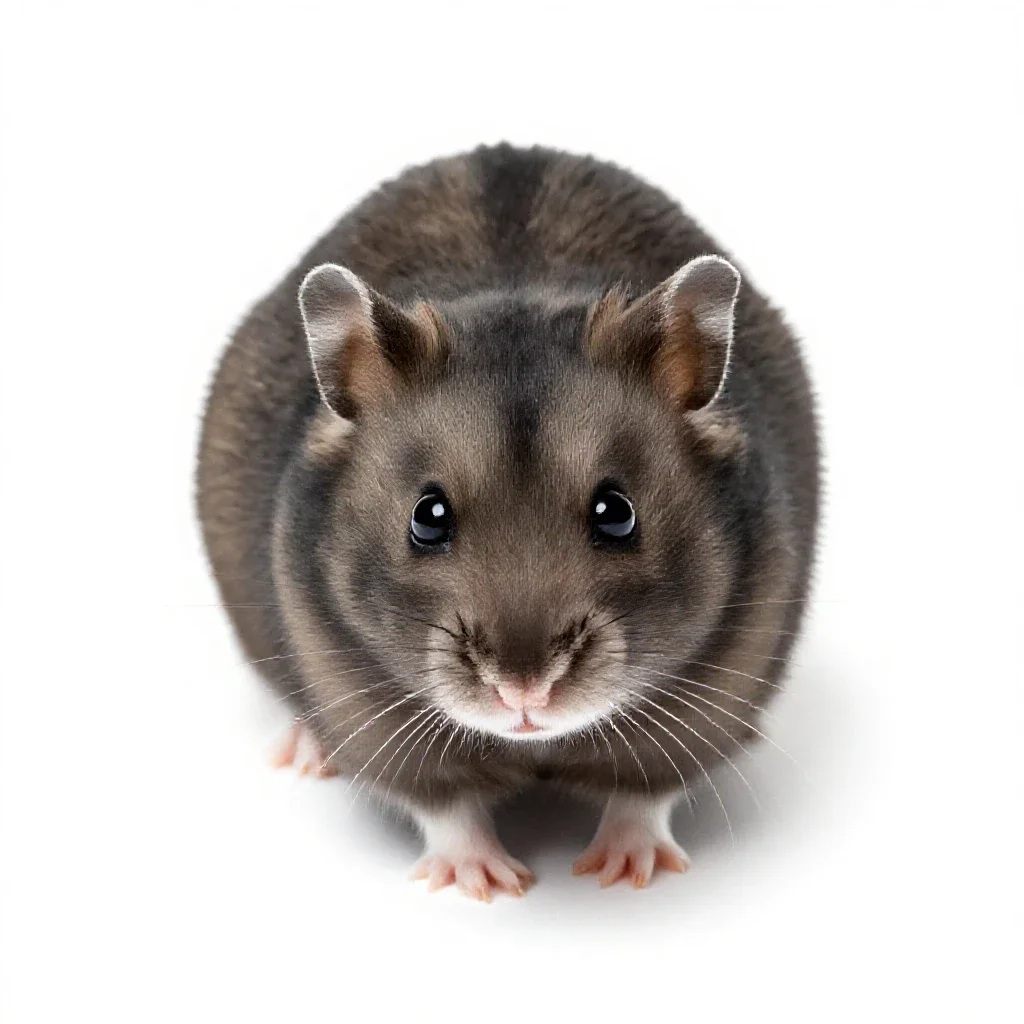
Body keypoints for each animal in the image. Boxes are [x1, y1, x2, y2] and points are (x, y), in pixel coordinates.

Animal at [197, 144, 819, 900]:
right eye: (427, 517)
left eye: (618, 513)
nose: (524, 693)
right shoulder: (362, 698)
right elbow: (444, 803)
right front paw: (490, 884)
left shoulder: (718, 681)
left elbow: (642, 791)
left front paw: (619, 875)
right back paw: (306, 751)